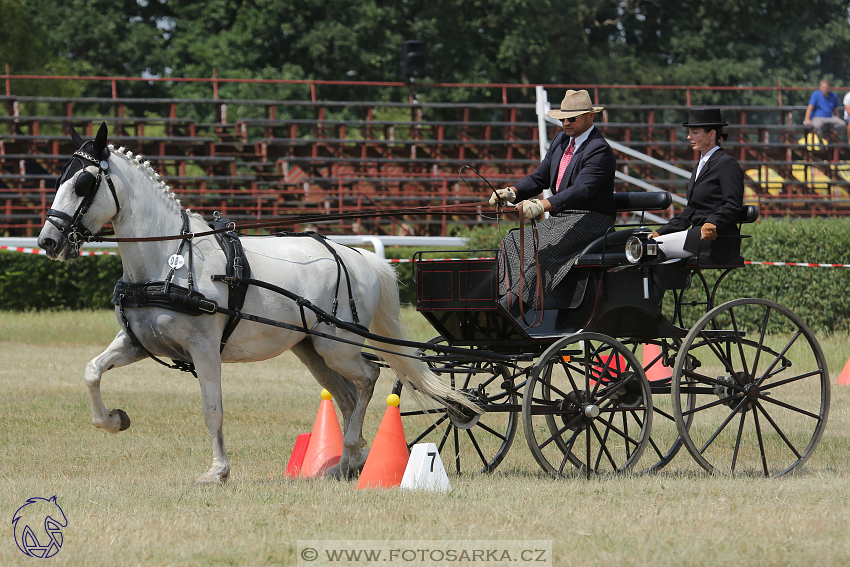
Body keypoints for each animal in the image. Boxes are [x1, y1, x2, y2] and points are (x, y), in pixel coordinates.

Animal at [38, 125, 464, 484]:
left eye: (84, 183)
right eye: (60, 179)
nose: (47, 241)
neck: (169, 260)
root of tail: (359, 256)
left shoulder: (204, 348)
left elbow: (212, 409)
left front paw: (218, 471)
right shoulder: (138, 342)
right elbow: (92, 371)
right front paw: (114, 419)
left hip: (336, 345)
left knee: (368, 378)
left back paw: (354, 452)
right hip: (311, 349)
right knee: (346, 394)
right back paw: (346, 463)